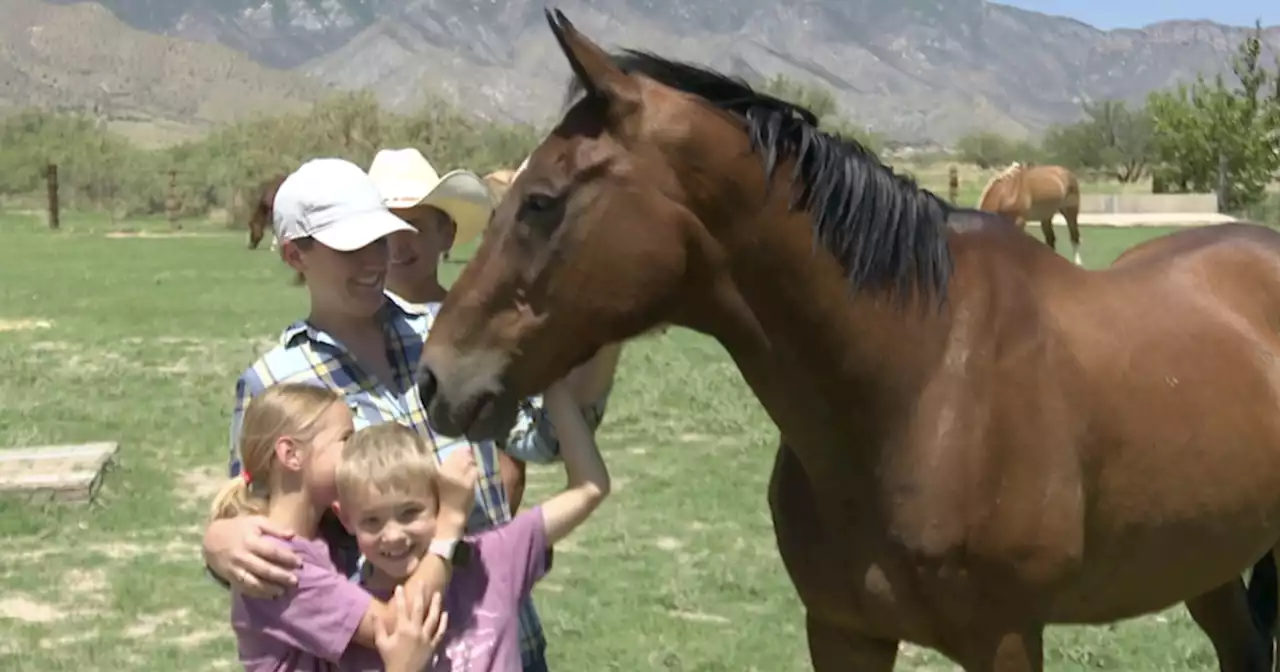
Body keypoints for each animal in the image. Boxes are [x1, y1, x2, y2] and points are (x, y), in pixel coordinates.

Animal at [412, 7, 1280, 665]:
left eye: (541, 202)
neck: (923, 381)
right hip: (1208, 565)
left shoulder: (1004, 638)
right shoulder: (841, 631)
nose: (434, 378)